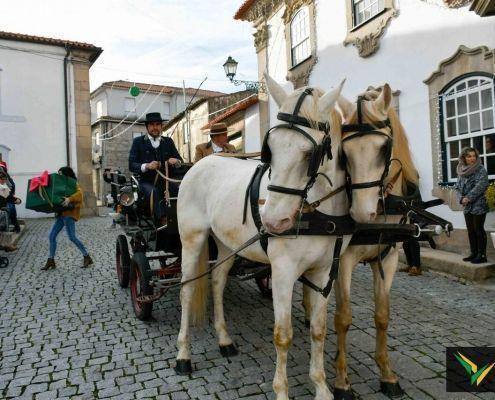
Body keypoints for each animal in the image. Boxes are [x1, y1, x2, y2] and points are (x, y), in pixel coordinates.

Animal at [175, 73, 356, 398]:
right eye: (269, 147)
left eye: (310, 154)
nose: (273, 221)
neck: (318, 212)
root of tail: (199, 164)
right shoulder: (283, 271)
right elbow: (283, 335)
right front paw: (282, 390)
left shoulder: (324, 271)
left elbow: (319, 330)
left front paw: (321, 386)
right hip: (192, 239)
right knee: (187, 289)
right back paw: (183, 355)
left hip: (226, 244)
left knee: (217, 282)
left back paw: (224, 339)